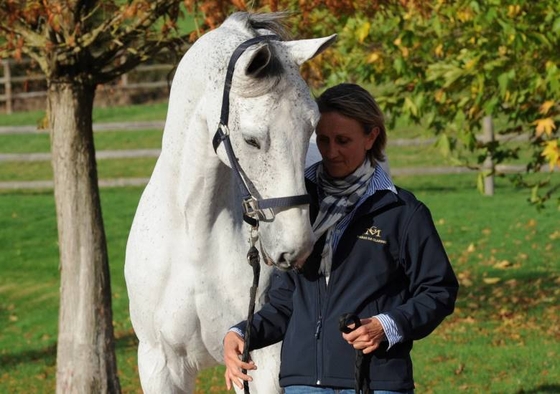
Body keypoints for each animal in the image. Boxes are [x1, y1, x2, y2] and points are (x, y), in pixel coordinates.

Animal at [126, 12, 336, 394]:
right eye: (251, 140)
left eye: (312, 128)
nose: (296, 248)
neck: (194, 237)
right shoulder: (160, 364)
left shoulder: (263, 362)